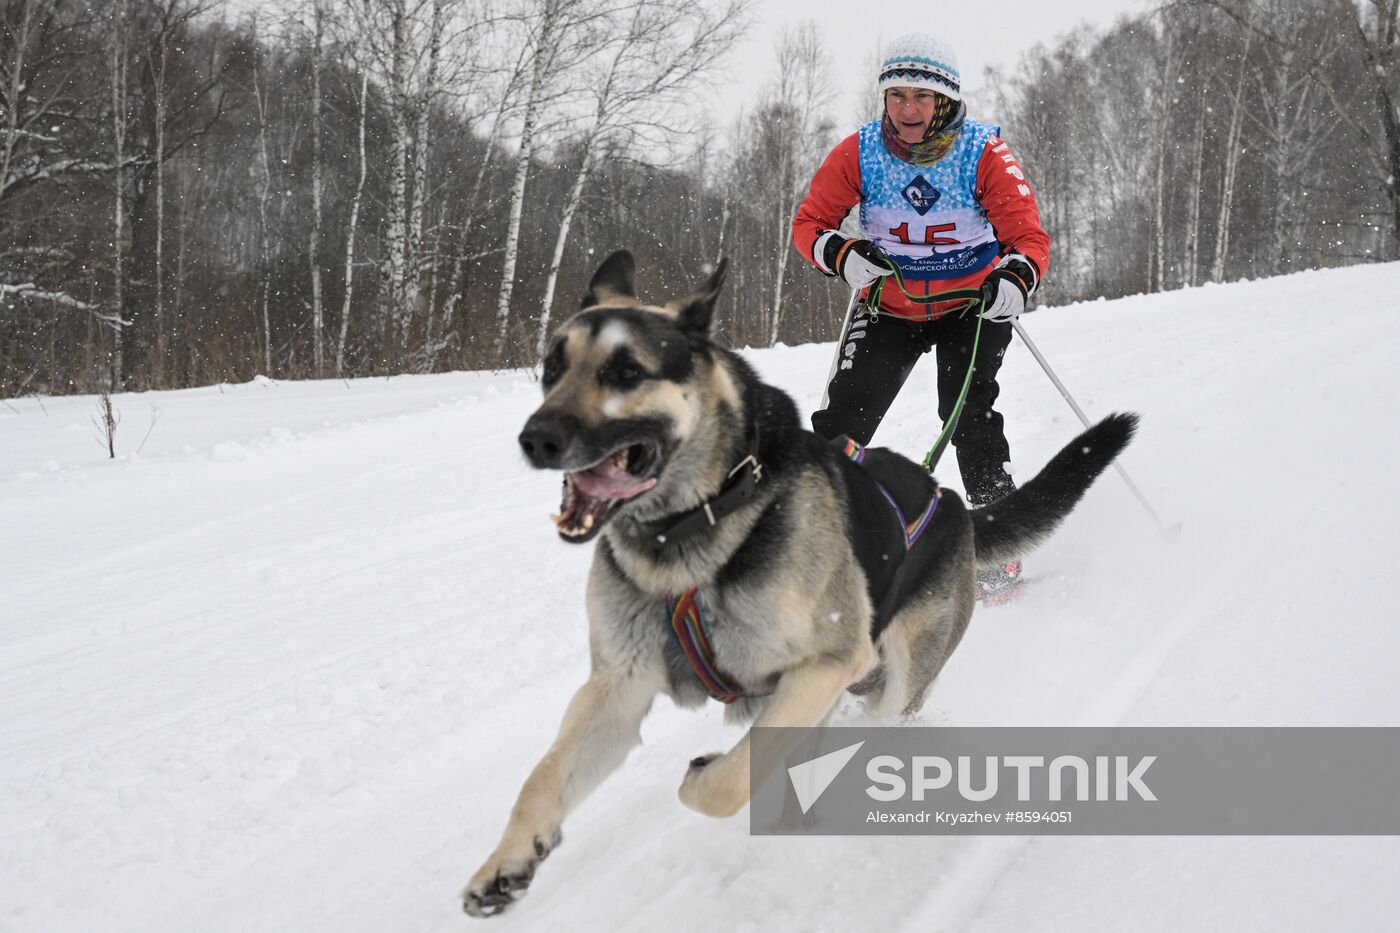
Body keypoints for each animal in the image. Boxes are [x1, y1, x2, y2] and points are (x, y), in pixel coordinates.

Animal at [464, 250, 1131, 913]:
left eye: (626, 370)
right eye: (553, 367)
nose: (537, 438)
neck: (692, 530)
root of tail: (952, 504)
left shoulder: (823, 665)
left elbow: (730, 777)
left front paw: (703, 773)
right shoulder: (617, 688)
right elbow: (544, 777)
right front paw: (508, 861)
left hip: (895, 682)